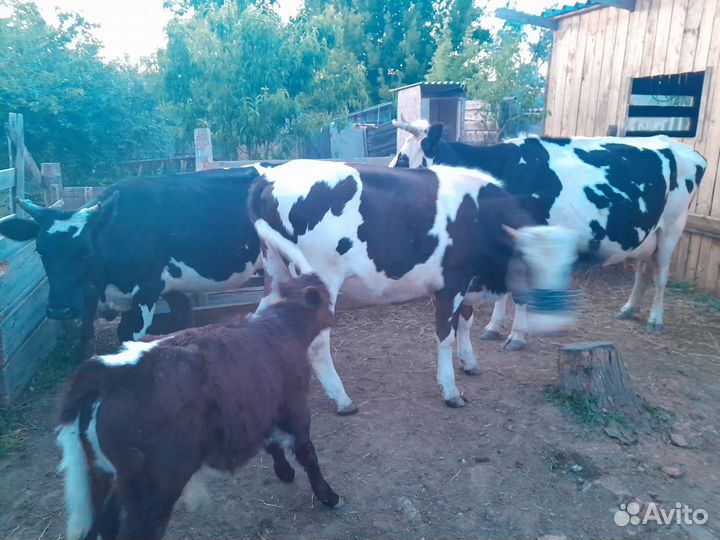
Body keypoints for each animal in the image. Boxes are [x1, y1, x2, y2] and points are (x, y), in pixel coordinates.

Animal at [0, 167, 265, 350]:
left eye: (86, 251)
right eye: (40, 251)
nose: (59, 310)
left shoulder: (147, 289)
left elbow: (128, 335)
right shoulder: (166, 287)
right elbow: (182, 319)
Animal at [57, 272, 342, 540]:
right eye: (328, 298)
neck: (279, 328)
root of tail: (109, 371)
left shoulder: (262, 407)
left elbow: (272, 442)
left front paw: (284, 472)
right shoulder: (295, 407)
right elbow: (306, 453)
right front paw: (328, 496)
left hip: (103, 478)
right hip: (152, 493)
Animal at [248, 159, 580, 414]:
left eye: (568, 268)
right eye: (529, 266)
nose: (555, 325)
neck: (478, 215)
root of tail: (272, 175)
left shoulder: (466, 283)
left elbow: (466, 323)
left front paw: (469, 363)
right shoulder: (452, 283)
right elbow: (445, 336)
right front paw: (451, 391)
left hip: (276, 271)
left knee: (258, 318)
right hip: (321, 278)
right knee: (317, 343)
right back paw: (342, 399)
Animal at [390, 120, 707, 349]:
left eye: (404, 160)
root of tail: (680, 147)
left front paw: (516, 337)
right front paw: (493, 328)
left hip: (672, 229)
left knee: (661, 275)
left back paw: (655, 319)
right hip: (648, 234)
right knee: (644, 270)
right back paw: (629, 309)